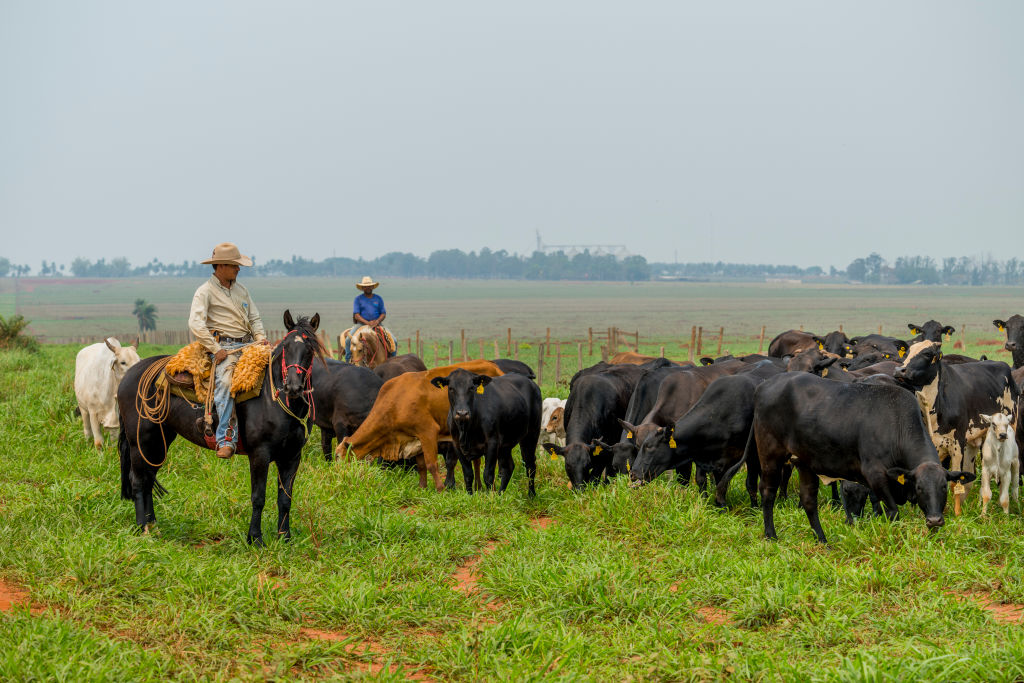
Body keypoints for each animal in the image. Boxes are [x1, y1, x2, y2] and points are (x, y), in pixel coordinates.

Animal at [115, 309, 323, 544]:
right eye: (286, 346)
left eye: (310, 350)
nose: (293, 387)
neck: (273, 400)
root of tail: (130, 375)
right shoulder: (260, 454)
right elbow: (258, 497)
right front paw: (255, 539)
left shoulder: (292, 456)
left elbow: (285, 499)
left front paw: (284, 538)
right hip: (139, 441)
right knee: (138, 481)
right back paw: (143, 529)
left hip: (160, 441)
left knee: (149, 477)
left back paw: (154, 526)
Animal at [339, 360, 503, 489]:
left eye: (338, 456)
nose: (339, 477)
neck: (396, 401)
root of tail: (494, 366)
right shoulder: (415, 439)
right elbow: (422, 466)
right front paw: (422, 487)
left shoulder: (428, 432)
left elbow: (431, 464)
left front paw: (440, 489)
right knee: (476, 461)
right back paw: (478, 486)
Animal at [430, 368, 544, 497]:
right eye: (451, 388)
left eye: (471, 387)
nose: (462, 413)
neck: (467, 429)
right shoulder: (457, 445)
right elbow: (468, 475)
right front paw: (470, 496)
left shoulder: (492, 443)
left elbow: (488, 475)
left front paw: (490, 498)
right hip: (505, 445)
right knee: (508, 467)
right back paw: (501, 494)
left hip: (531, 434)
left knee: (530, 465)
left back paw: (531, 495)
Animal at [749, 374, 970, 544]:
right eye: (919, 487)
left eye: (943, 487)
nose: (935, 520)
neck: (896, 425)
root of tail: (764, 385)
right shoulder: (875, 475)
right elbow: (892, 512)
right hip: (770, 456)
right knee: (767, 492)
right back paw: (771, 536)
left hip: (804, 463)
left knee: (808, 500)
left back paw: (822, 540)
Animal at [892, 342, 1019, 511]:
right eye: (907, 352)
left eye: (927, 354)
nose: (899, 370)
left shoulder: (957, 444)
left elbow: (954, 483)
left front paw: (957, 513)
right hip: (975, 440)